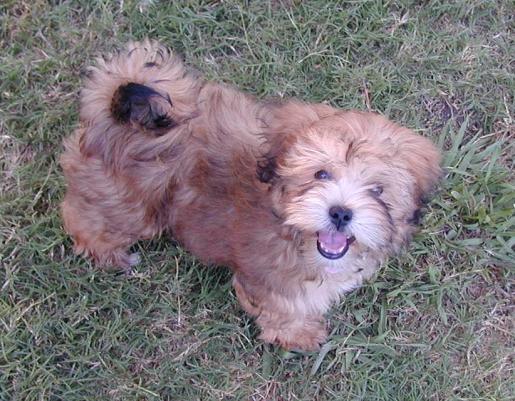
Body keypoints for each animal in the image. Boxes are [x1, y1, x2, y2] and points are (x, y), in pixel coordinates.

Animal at [59, 39, 440, 348]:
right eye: (321, 174)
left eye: (377, 190)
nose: (341, 212)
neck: (289, 225)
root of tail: (111, 111)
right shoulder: (268, 281)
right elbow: (282, 310)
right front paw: (299, 335)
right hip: (128, 205)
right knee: (85, 217)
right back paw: (109, 254)